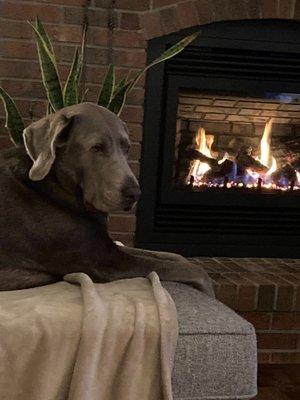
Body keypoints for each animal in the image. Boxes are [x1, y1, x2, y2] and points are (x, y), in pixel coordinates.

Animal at [0, 103, 214, 296]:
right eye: (96, 148)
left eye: (126, 148)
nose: (135, 194)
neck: (56, 187)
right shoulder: (107, 262)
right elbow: (188, 269)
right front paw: (208, 289)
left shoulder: (107, 246)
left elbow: (170, 255)